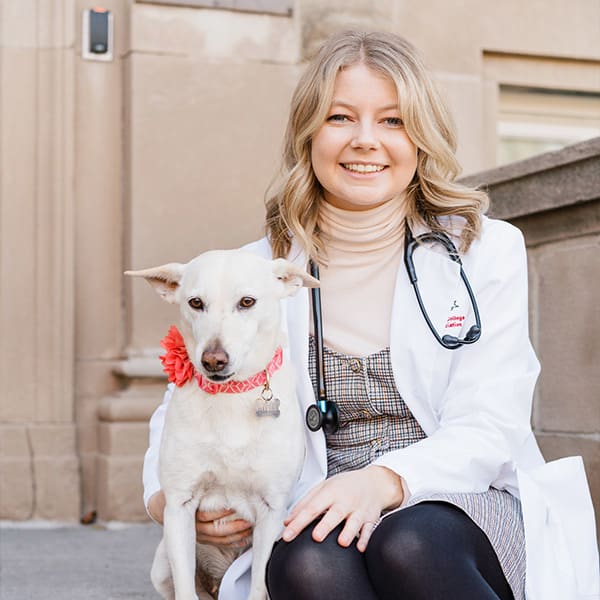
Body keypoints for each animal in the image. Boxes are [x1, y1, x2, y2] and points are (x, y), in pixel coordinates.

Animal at [127, 251, 318, 600]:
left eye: (247, 301)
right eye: (195, 302)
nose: (213, 359)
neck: (231, 397)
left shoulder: (272, 512)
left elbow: (257, 588)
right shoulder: (178, 508)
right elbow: (185, 590)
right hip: (161, 567)